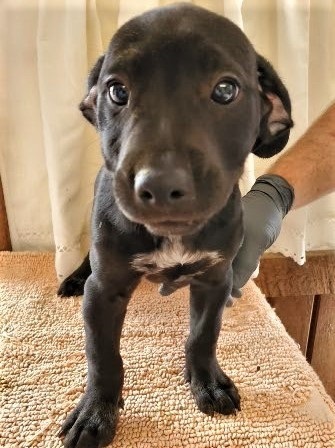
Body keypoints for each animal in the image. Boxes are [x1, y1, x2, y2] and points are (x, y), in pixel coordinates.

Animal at [59, 4, 292, 448]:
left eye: (225, 90)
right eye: (117, 92)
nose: (161, 185)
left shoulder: (216, 280)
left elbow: (203, 335)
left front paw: (207, 382)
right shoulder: (104, 291)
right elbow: (103, 356)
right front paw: (96, 412)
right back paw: (73, 278)